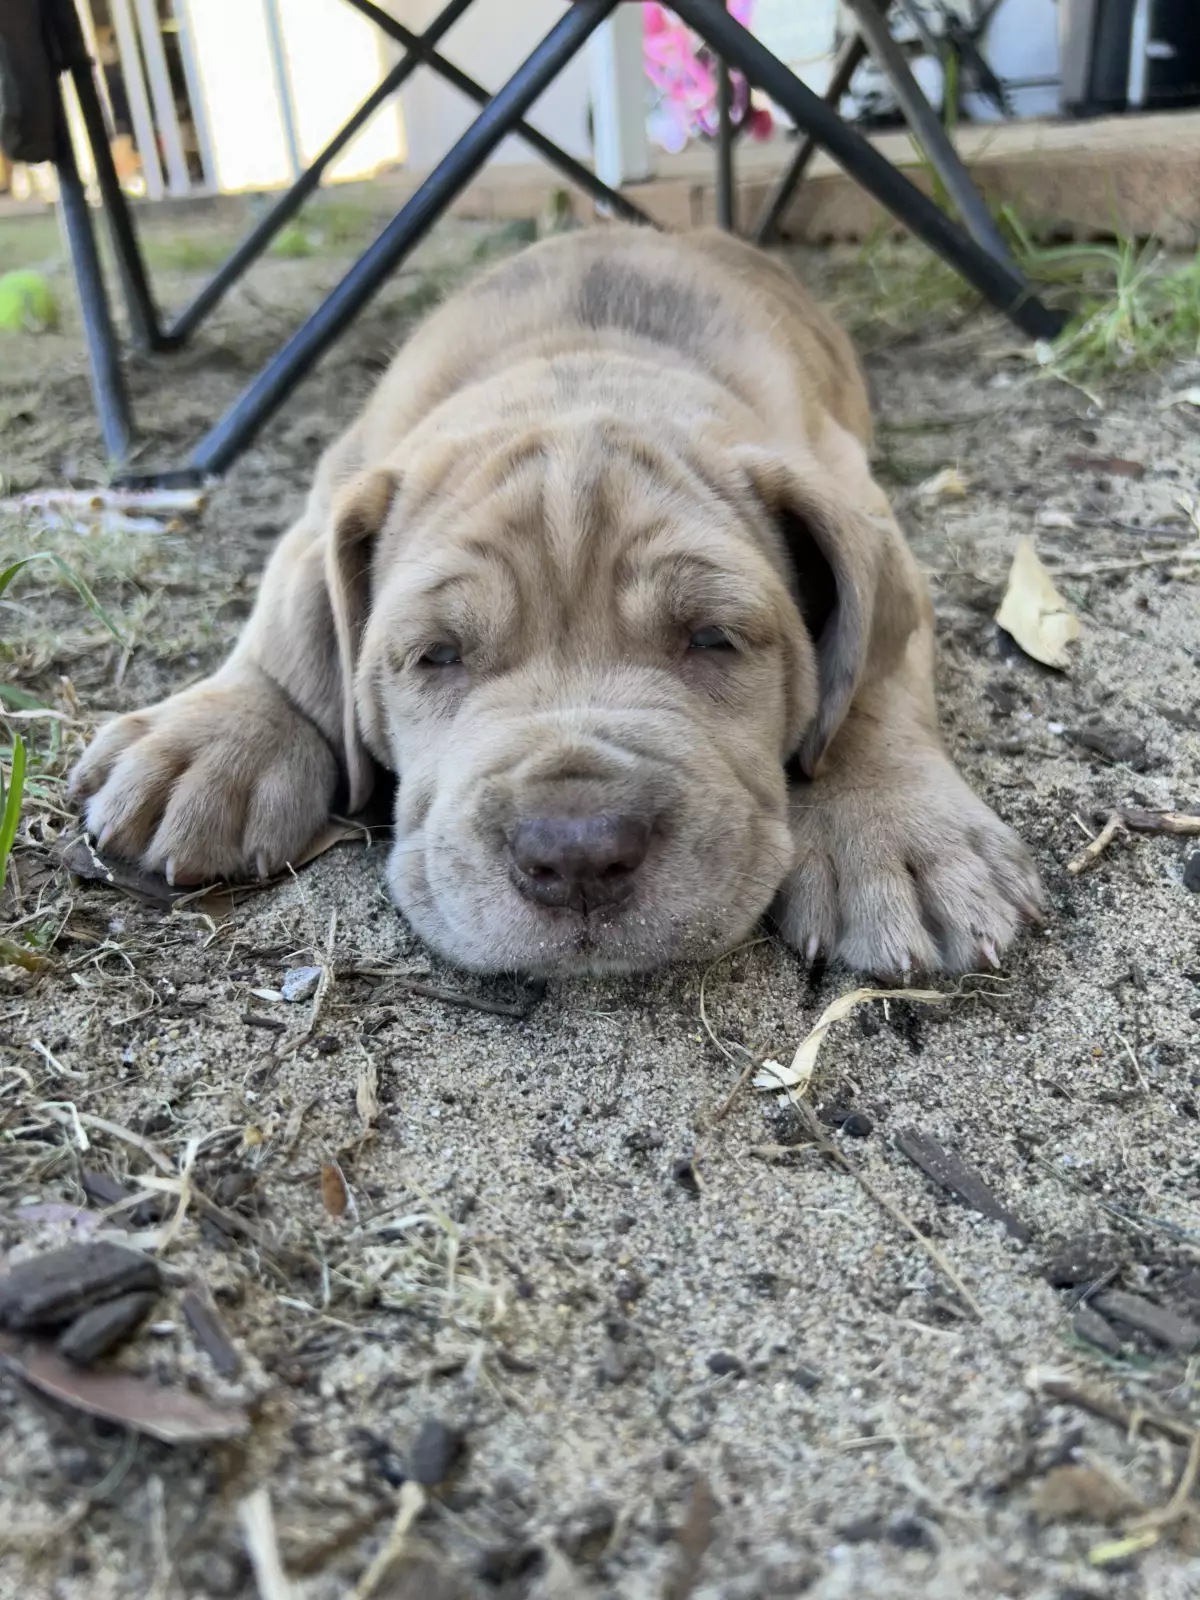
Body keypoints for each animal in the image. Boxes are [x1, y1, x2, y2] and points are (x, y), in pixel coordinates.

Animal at [69, 226, 1042, 977]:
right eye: (436, 655)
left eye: (714, 640)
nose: (576, 855)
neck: (582, 368)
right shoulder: (335, 485)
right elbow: (286, 621)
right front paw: (222, 739)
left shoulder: (857, 500)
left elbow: (868, 680)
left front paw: (893, 833)